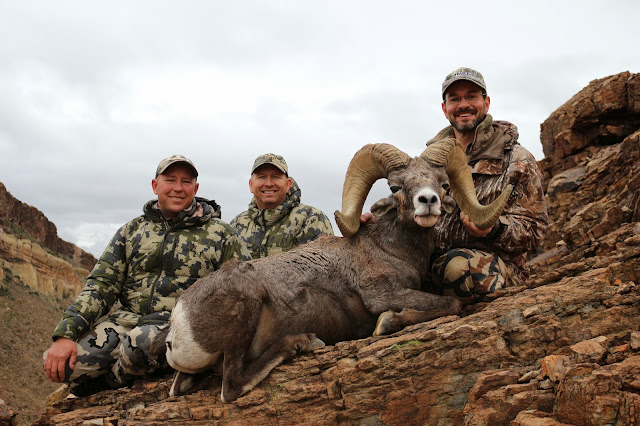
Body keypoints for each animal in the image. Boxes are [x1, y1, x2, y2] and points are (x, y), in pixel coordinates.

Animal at [151, 138, 513, 402]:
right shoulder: (383, 295)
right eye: (395, 187)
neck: (388, 249)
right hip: (246, 308)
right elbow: (452, 303)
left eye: (443, 184)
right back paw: (303, 342)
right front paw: (388, 323)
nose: (428, 202)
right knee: (231, 388)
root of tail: (177, 326)